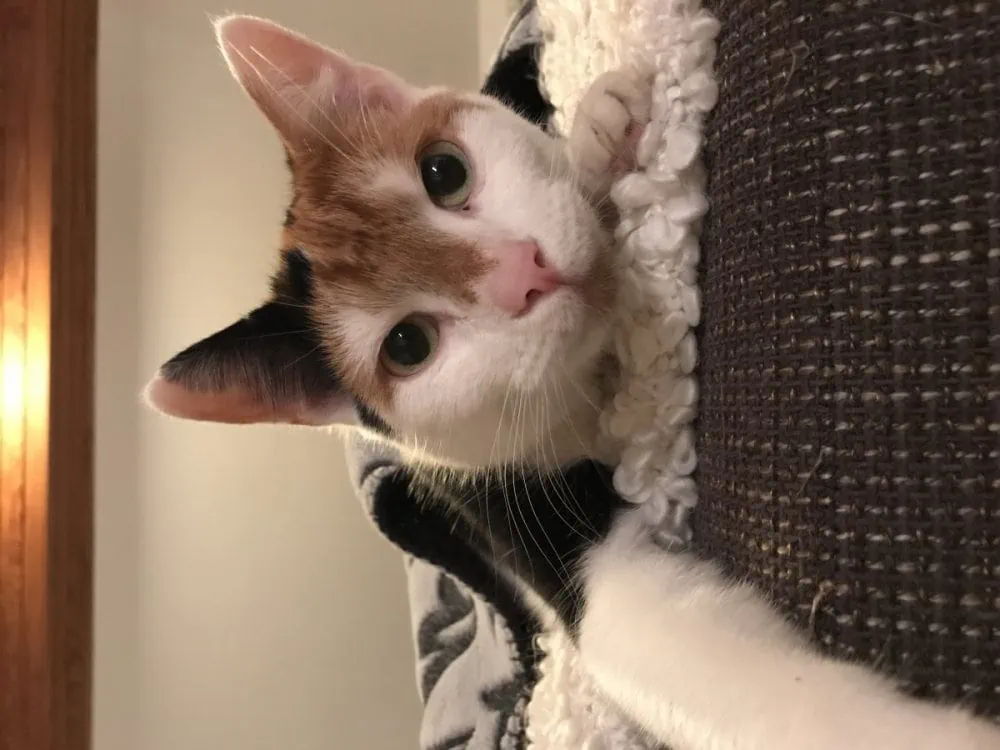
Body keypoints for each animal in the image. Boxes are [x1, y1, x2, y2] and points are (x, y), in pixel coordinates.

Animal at [145, 15, 1000, 750]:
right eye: (407, 346)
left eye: (444, 171)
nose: (525, 273)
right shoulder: (497, 497)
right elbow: (643, 633)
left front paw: (596, 134)